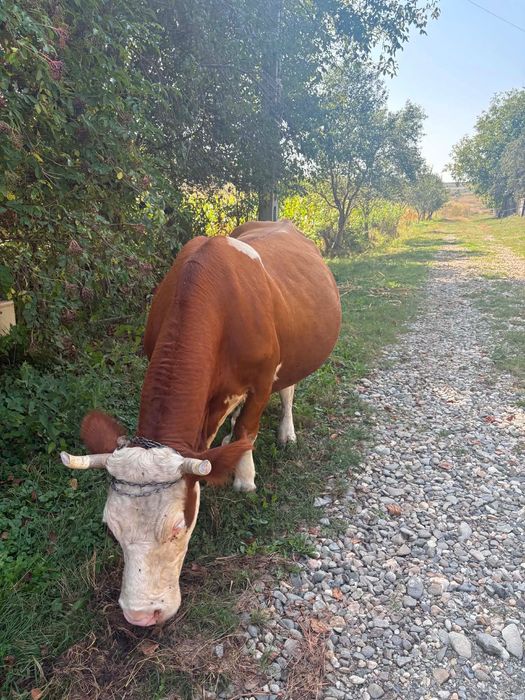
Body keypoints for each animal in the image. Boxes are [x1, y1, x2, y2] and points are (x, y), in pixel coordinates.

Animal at [61, 220, 341, 627]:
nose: (140, 616)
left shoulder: (261, 380)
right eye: (111, 529)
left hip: (292, 356)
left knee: (287, 390)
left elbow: (248, 428)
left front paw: (244, 477)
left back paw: (285, 433)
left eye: (178, 527)